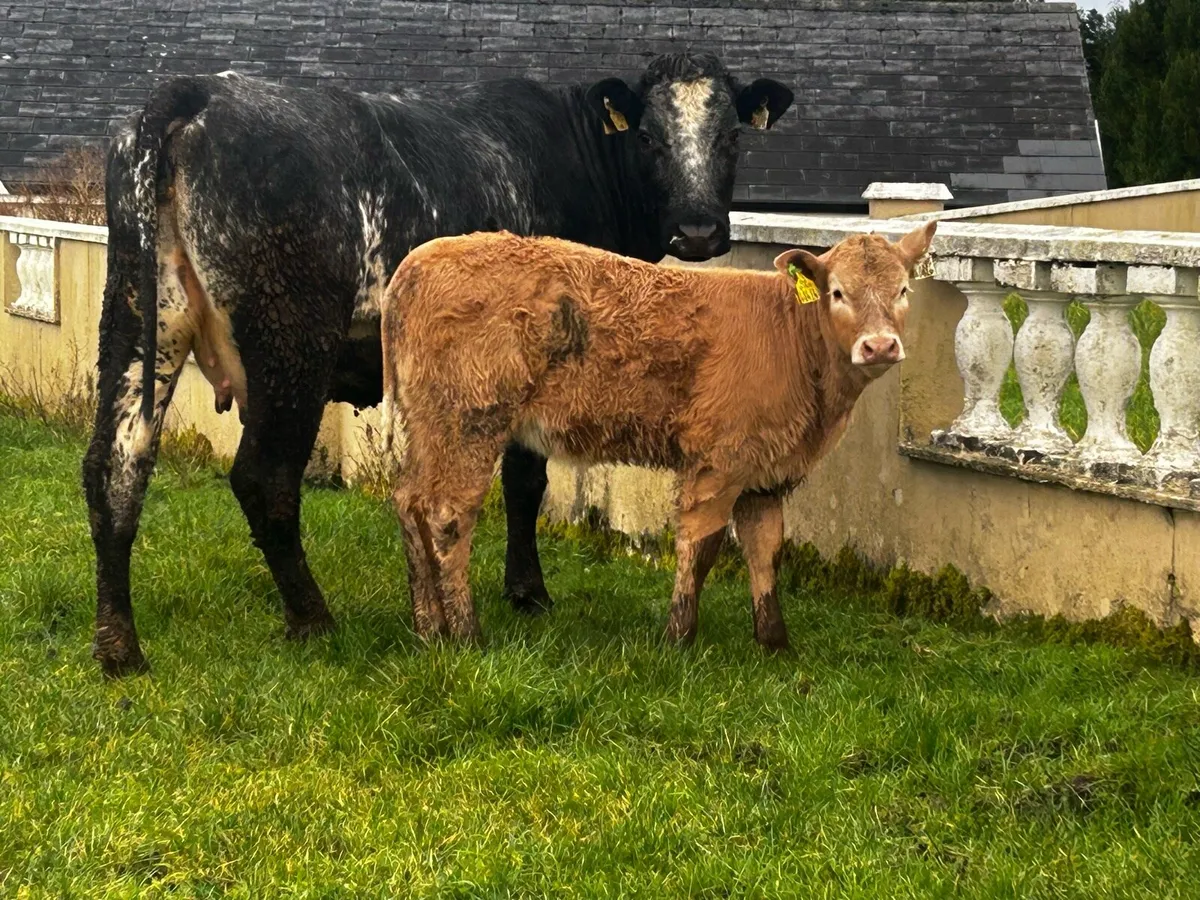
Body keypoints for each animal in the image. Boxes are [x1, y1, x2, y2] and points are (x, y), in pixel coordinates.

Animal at [82, 54, 794, 676]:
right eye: (647, 136)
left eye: (732, 134)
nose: (698, 231)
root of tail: (198, 92)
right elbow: (526, 482)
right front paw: (528, 591)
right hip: (292, 338)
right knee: (265, 478)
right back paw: (314, 620)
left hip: (140, 315)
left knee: (115, 466)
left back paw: (120, 647)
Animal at [380, 222, 937, 648]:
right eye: (837, 292)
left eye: (903, 291)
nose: (880, 345)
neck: (791, 337)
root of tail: (417, 263)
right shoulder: (717, 462)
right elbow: (701, 547)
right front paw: (678, 638)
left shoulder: (765, 473)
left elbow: (765, 550)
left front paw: (775, 643)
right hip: (470, 421)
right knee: (448, 515)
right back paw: (467, 634)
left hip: (430, 425)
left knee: (409, 502)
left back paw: (429, 628)